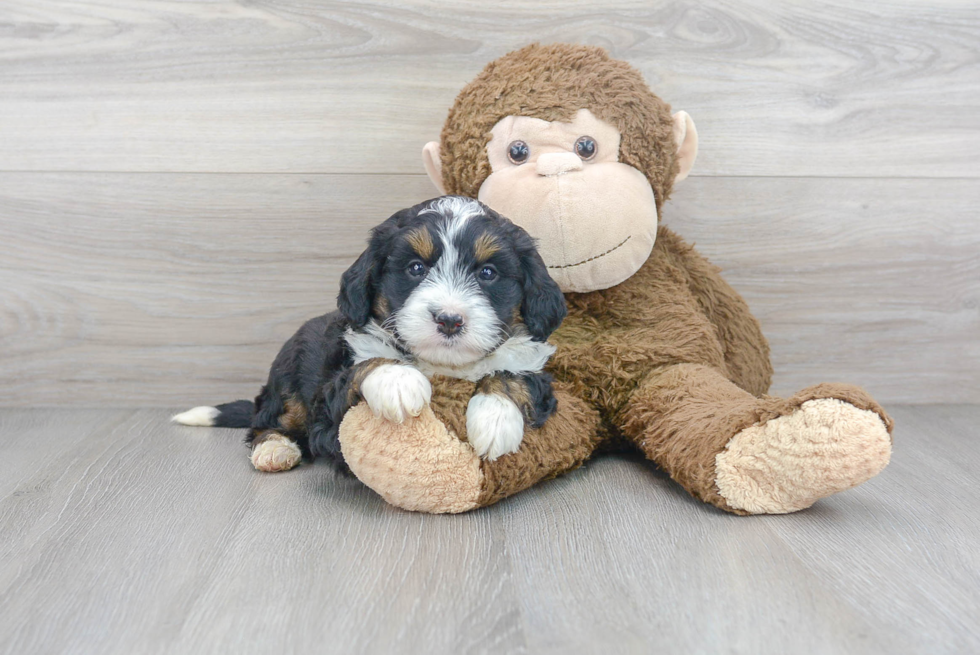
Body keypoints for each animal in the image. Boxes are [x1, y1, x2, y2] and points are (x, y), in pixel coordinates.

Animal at [172, 195, 564, 472]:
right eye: (415, 268)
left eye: (488, 273)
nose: (449, 320)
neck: (444, 366)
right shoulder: (329, 404)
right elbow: (366, 366)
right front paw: (398, 382)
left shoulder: (535, 366)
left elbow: (514, 375)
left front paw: (494, 418)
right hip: (287, 376)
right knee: (268, 420)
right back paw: (275, 448)